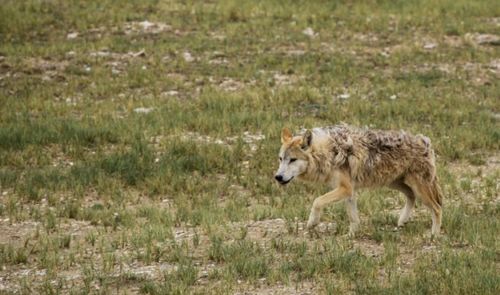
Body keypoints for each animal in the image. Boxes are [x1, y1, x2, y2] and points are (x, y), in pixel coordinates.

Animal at [276, 126, 444, 237]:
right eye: (281, 159)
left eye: (292, 160)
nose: (277, 177)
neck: (327, 153)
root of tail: (425, 142)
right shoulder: (349, 191)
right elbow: (353, 218)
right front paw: (351, 236)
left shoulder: (345, 189)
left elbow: (317, 201)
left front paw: (313, 222)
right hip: (395, 183)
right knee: (411, 196)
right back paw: (402, 221)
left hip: (418, 188)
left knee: (437, 208)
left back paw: (433, 235)